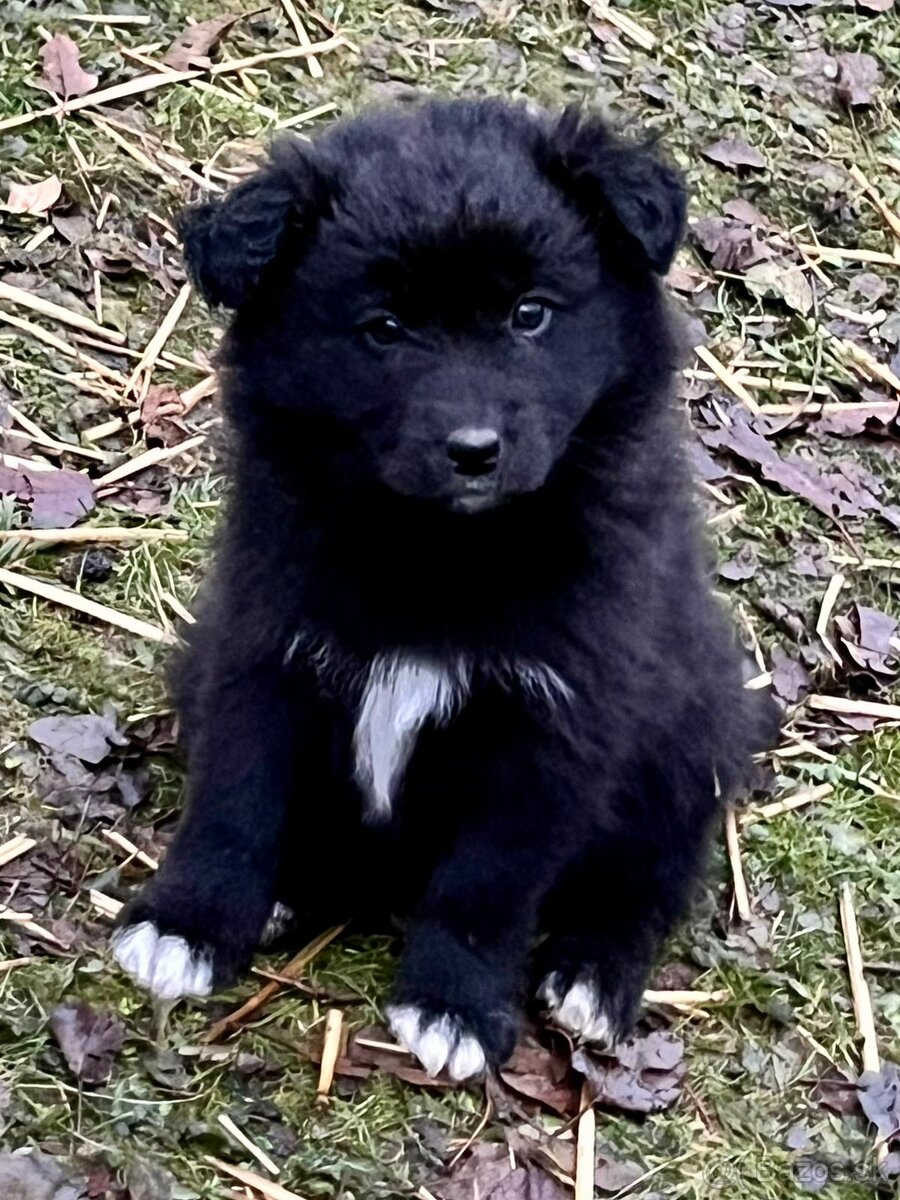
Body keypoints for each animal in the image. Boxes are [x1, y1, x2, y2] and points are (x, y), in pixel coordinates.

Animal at [111, 100, 777, 1080]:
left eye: (530, 315)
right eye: (385, 328)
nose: (473, 450)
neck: (439, 550)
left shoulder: (557, 722)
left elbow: (487, 879)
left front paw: (454, 1003)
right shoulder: (261, 647)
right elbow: (235, 799)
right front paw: (188, 921)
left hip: (688, 734)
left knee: (650, 879)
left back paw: (595, 974)